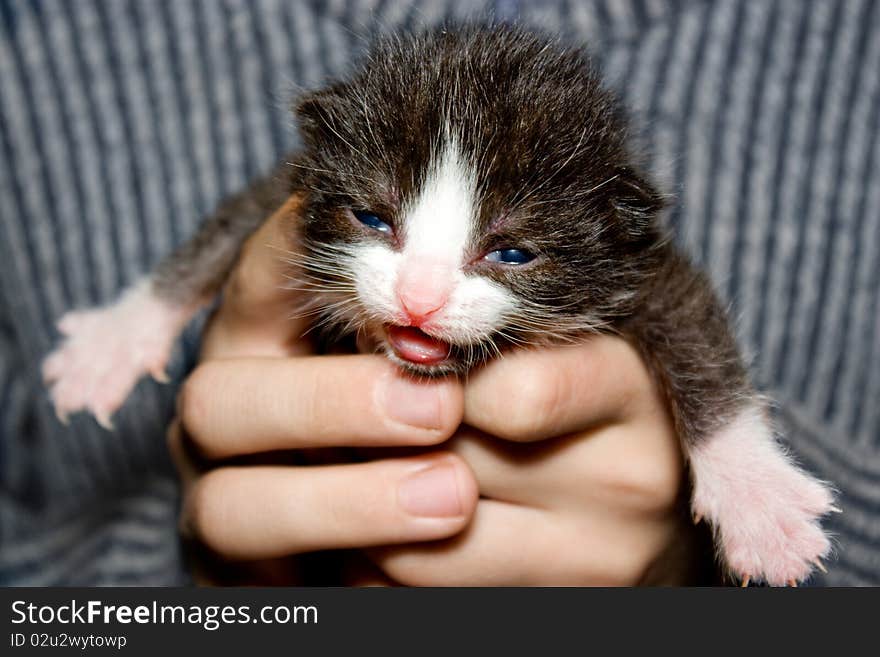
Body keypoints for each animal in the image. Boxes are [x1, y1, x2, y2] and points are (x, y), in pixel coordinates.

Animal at [43, 28, 840, 588]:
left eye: (510, 252)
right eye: (373, 217)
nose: (418, 298)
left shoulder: (641, 263)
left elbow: (698, 338)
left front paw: (758, 499)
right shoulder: (291, 187)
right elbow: (219, 230)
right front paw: (115, 339)